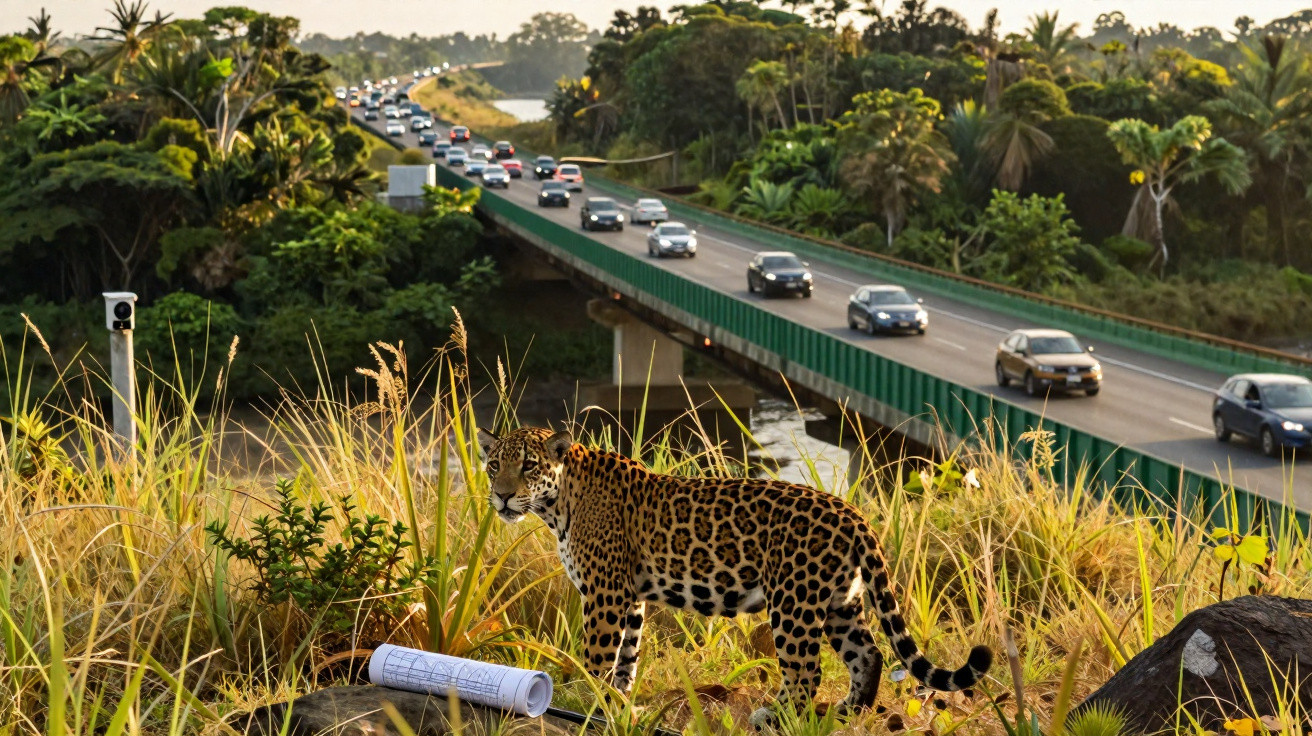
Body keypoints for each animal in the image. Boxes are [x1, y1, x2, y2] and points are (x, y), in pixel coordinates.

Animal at [478, 426, 992, 724]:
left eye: (528, 466)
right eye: (493, 464)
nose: (501, 496)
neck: (557, 503)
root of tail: (851, 512)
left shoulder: (605, 593)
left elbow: (599, 654)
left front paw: (588, 696)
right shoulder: (631, 595)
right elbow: (627, 655)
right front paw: (617, 699)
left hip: (794, 601)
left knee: (806, 672)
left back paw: (775, 716)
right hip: (838, 601)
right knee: (868, 654)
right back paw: (849, 711)